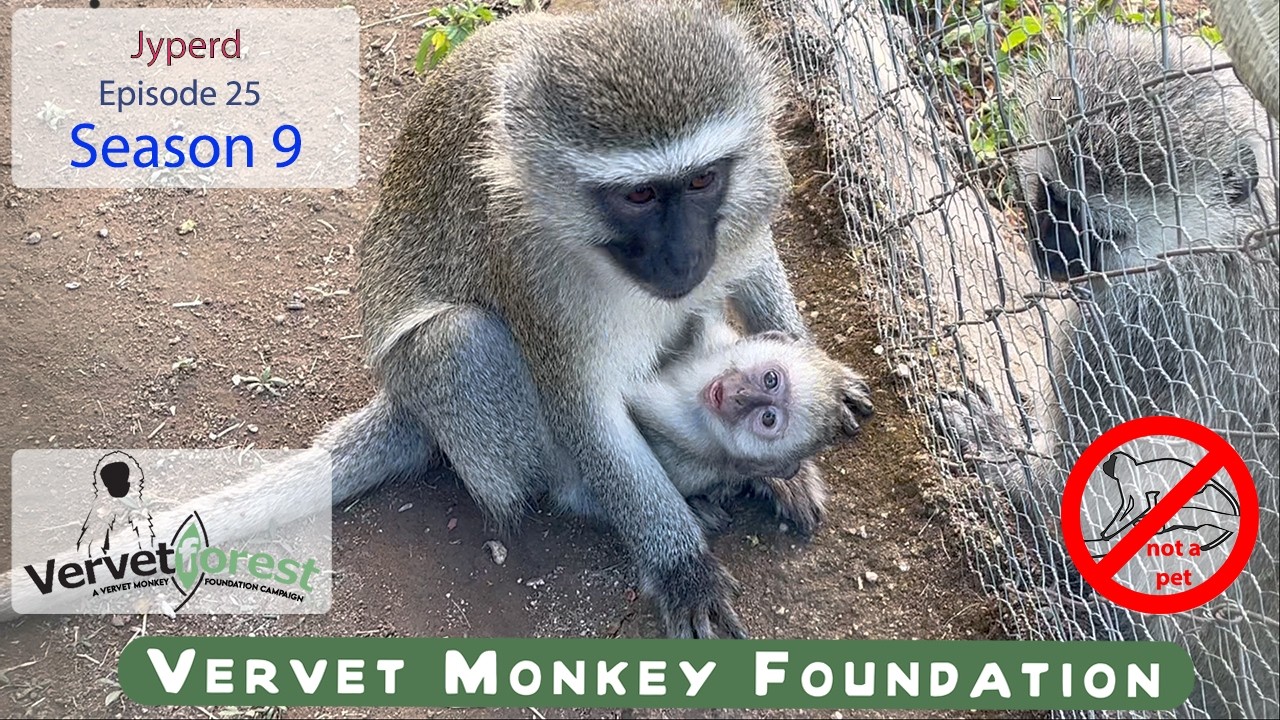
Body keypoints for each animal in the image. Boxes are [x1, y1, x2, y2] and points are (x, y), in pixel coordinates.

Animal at [933, 22, 1278, 719]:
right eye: (1051, 197)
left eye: (1092, 223)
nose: (1043, 249)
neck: (1224, 235)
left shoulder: (1139, 320)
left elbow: (1074, 496)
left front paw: (1004, 461)